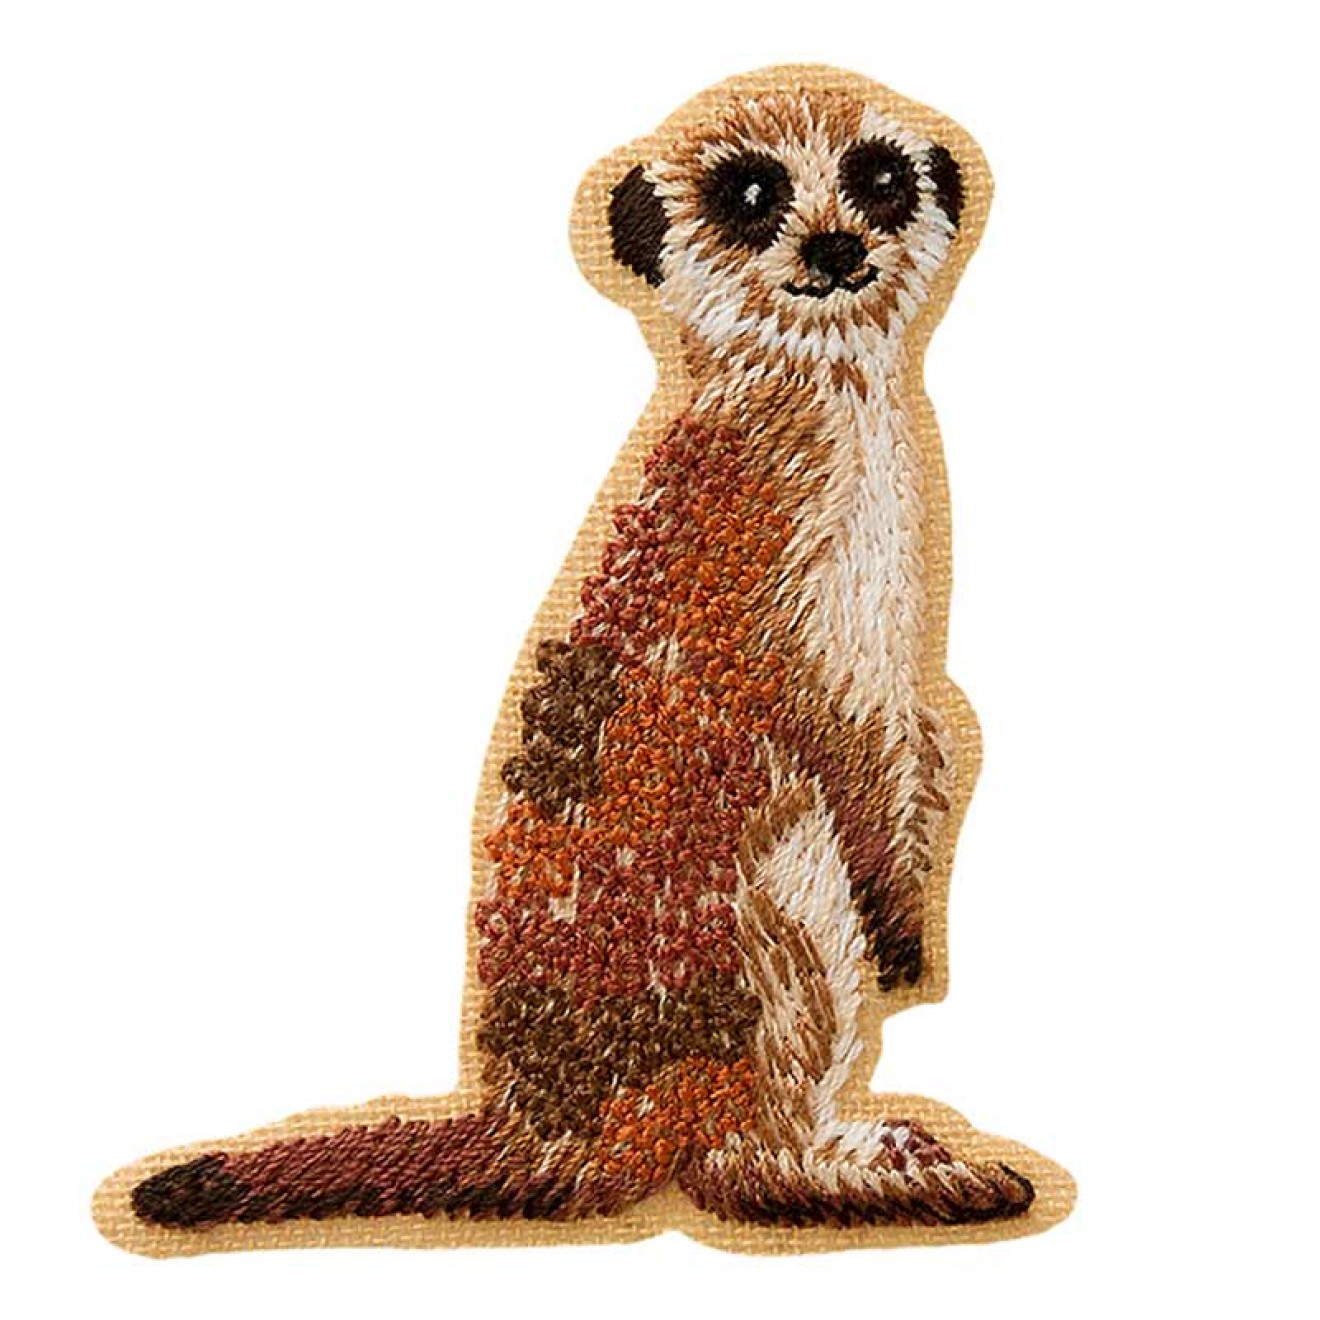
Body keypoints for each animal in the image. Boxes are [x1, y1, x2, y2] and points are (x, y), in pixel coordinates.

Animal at [96, 65, 1072, 1255]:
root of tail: (541, 1124)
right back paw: (858, 1171)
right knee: (753, 1083)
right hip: (734, 940)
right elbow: (843, 721)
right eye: (752, 192)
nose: (838, 248)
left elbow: (935, 726)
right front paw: (902, 929)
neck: (819, 400)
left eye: (881, 176)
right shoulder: (791, 559)